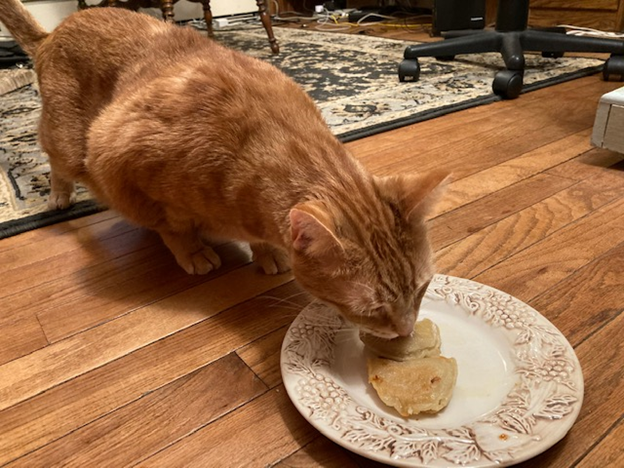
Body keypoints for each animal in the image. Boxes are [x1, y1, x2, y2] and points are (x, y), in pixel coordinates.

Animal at [0, 0, 448, 336]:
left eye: (422, 289)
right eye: (373, 310)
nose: (407, 331)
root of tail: (54, 31)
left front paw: (266, 252)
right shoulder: (118, 155)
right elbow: (172, 228)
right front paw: (194, 251)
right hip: (70, 143)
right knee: (57, 164)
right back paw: (59, 197)